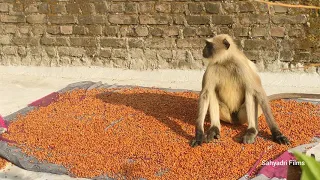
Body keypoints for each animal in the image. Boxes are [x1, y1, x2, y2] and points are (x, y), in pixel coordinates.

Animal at [190, 34, 320, 148]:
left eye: (209, 45)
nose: (203, 50)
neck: (227, 62)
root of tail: (234, 120)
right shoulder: (211, 68)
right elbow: (205, 93)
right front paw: (199, 135)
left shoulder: (243, 67)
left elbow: (259, 93)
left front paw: (277, 134)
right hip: (226, 113)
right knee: (212, 91)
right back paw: (214, 129)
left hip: (244, 115)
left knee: (250, 91)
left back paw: (252, 130)